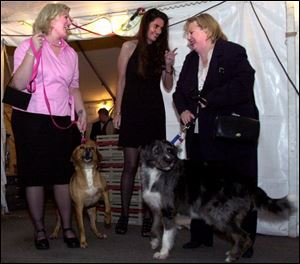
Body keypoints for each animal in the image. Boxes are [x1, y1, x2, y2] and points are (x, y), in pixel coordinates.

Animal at [140, 140, 292, 262]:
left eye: (170, 150)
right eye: (156, 150)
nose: (169, 160)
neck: (156, 173)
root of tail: (248, 183)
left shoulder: (168, 209)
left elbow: (167, 234)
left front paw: (163, 253)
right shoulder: (157, 209)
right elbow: (154, 226)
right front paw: (154, 241)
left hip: (218, 215)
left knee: (243, 236)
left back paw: (233, 257)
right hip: (232, 215)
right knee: (243, 236)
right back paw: (234, 253)